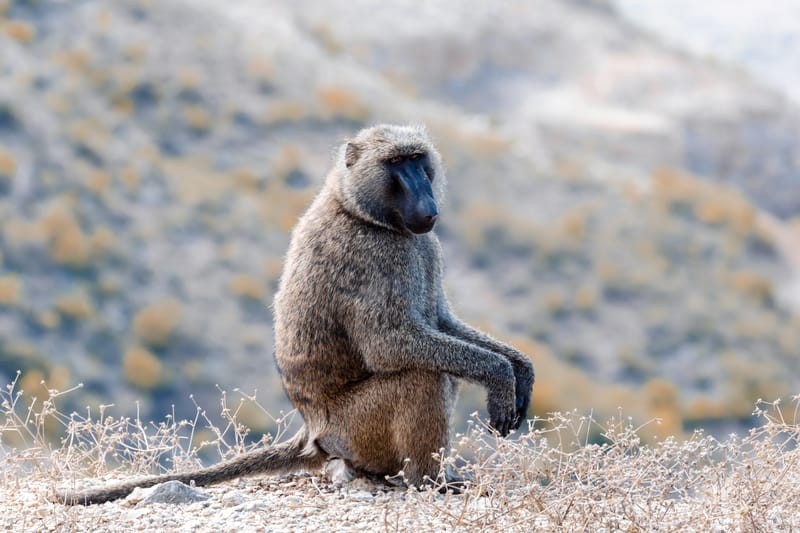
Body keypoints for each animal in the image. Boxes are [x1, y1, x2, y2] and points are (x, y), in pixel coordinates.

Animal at [58, 124, 534, 505]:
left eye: (419, 160)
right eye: (397, 163)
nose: (426, 202)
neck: (359, 211)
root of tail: (313, 432)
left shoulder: (423, 246)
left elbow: (439, 322)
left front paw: (520, 372)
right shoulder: (373, 257)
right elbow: (390, 345)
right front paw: (500, 378)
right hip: (357, 429)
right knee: (425, 376)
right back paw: (427, 481)